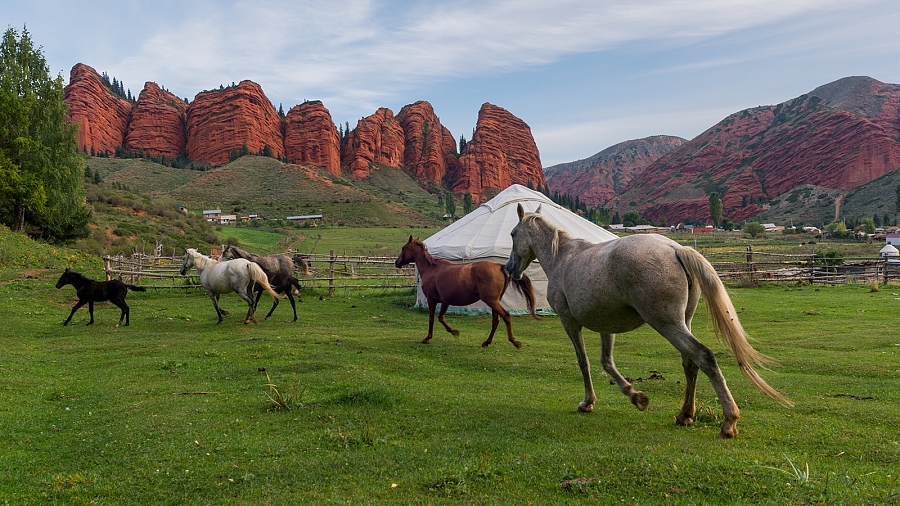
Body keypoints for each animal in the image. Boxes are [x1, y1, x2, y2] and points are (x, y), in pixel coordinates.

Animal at [394, 236, 536, 348]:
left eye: (403, 248)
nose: (396, 263)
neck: (431, 269)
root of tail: (500, 266)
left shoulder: (431, 300)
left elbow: (432, 319)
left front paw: (427, 338)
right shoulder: (445, 301)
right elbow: (441, 318)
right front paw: (454, 332)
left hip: (491, 301)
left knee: (506, 315)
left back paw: (514, 341)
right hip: (495, 301)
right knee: (496, 320)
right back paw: (487, 342)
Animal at [502, 204, 792, 436]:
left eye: (513, 233)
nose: (509, 269)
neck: (562, 258)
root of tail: (676, 248)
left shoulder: (569, 322)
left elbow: (584, 362)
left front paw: (588, 402)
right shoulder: (607, 327)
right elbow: (606, 362)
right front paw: (636, 396)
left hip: (667, 323)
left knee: (704, 357)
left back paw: (729, 422)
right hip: (682, 322)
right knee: (690, 362)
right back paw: (685, 415)